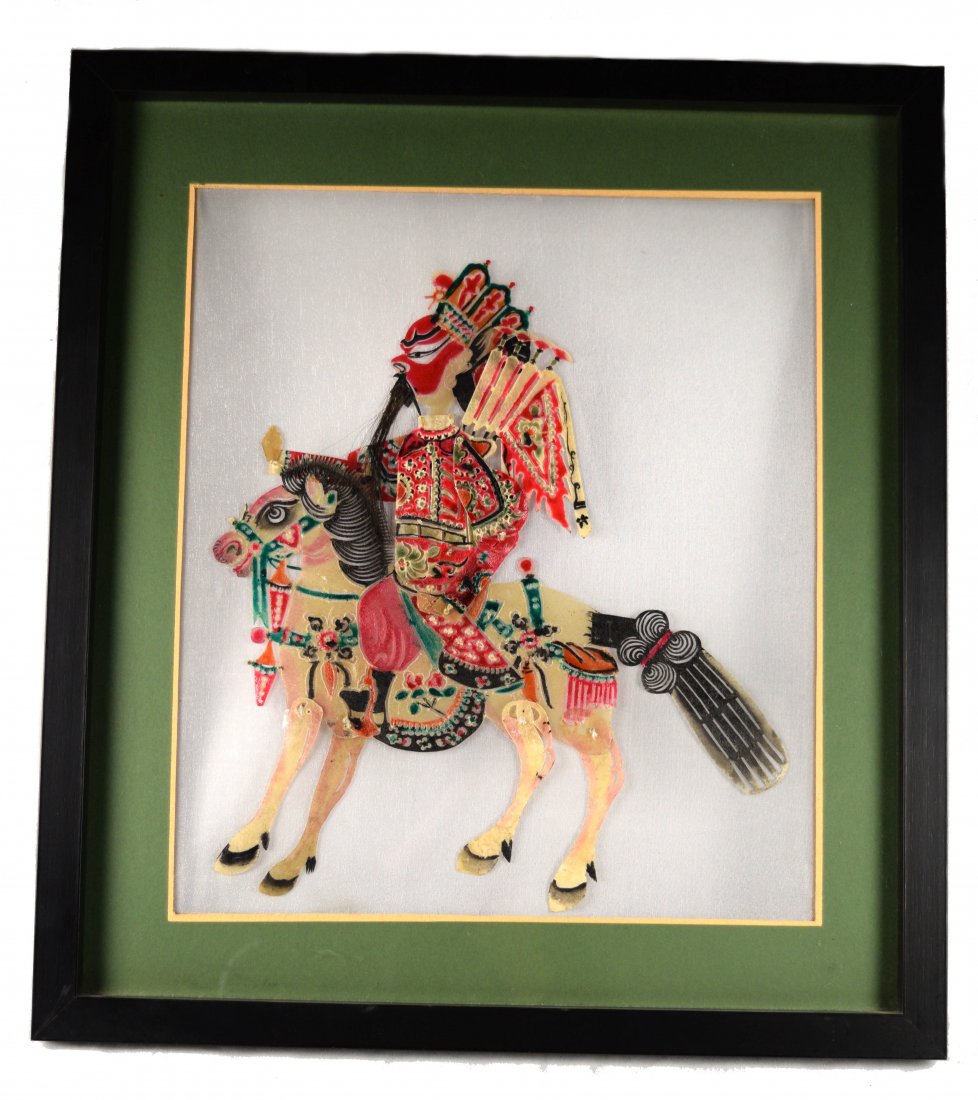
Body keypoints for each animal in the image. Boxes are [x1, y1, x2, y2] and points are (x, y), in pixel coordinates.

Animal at [209, 444, 788, 913]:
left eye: (276, 512)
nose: (224, 550)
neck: (336, 611)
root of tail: (593, 618)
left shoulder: (353, 722)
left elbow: (321, 791)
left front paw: (287, 867)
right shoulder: (305, 708)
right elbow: (285, 772)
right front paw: (244, 843)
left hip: (575, 715)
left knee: (607, 773)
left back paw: (570, 876)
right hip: (515, 710)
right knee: (539, 761)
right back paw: (487, 846)